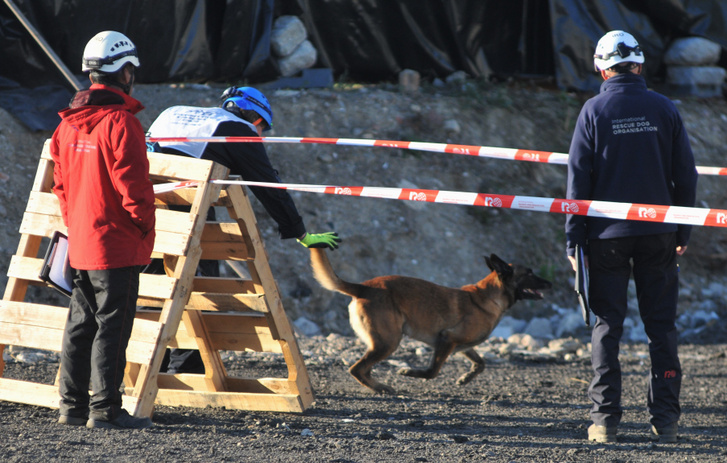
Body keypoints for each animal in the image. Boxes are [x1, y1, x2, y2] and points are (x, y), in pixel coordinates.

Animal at [308, 250, 552, 396]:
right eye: (529, 273)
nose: (550, 283)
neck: (488, 297)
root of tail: (364, 287)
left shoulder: (462, 345)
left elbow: (480, 363)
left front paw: (465, 378)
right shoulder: (447, 340)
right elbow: (432, 372)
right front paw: (408, 372)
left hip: (384, 342)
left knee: (361, 369)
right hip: (388, 342)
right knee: (357, 369)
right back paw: (382, 388)